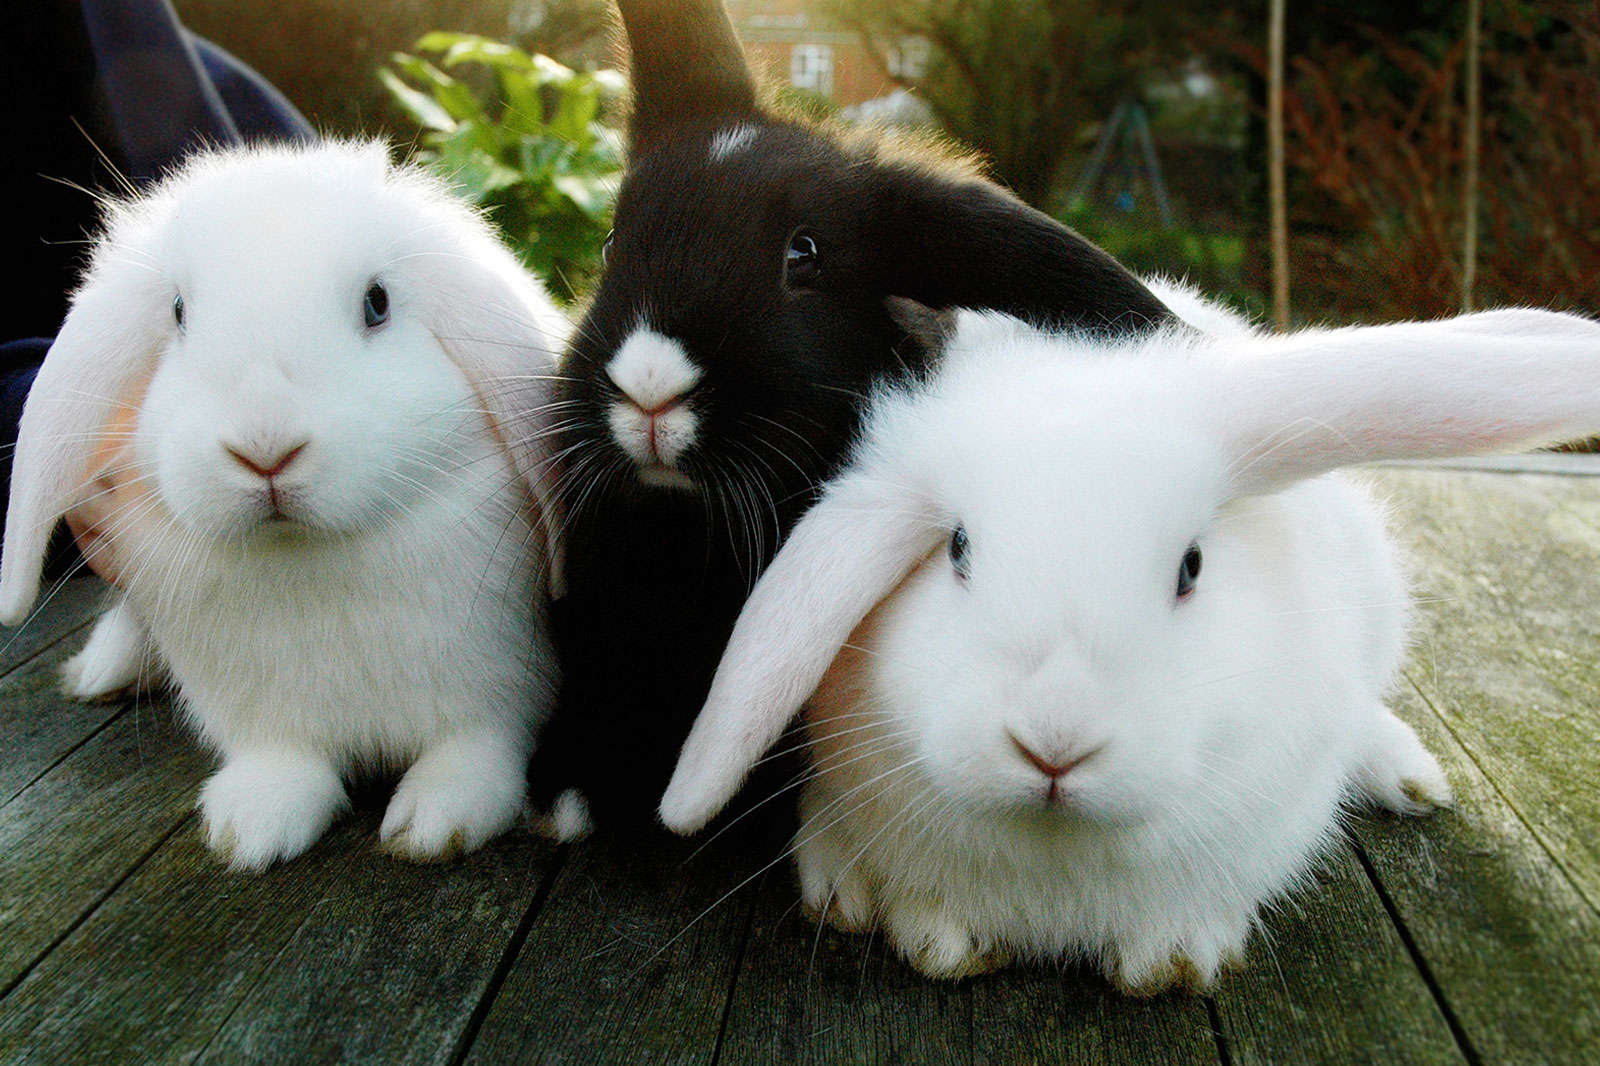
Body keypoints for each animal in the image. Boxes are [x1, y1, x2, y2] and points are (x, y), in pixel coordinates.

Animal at [0, 139, 569, 870]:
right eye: (178, 312)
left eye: (377, 302)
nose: (264, 447)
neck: (308, 560)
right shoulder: (260, 714)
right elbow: (282, 762)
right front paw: (248, 829)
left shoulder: (500, 688)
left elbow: (476, 746)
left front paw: (436, 822)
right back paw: (101, 671)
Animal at [658, 280, 1600, 991]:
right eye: (957, 549)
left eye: (1191, 566)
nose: (1055, 744)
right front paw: (937, 939)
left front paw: (1173, 961)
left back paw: (1410, 780)